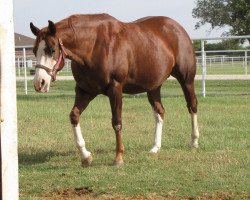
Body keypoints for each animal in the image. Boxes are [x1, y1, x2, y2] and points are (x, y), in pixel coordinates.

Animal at [30, 14, 200, 166]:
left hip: (186, 80)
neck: (93, 46)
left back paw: (194, 141)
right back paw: (155, 148)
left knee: (192, 105)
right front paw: (86, 156)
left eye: (52, 49)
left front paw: (118, 158)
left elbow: (117, 122)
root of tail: (178, 28)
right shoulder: (85, 91)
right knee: (160, 112)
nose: (39, 83)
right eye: (34, 50)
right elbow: (74, 116)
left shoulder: (115, 89)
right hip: (153, 86)